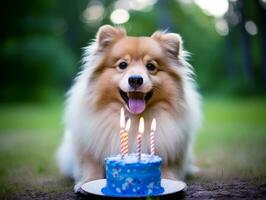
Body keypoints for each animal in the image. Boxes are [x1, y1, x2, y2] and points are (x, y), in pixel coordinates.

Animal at [55, 25, 202, 192]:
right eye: (122, 65)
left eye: (151, 66)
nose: (136, 79)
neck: (133, 118)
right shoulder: (89, 148)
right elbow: (91, 166)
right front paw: (86, 183)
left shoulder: (171, 150)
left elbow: (168, 168)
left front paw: (173, 181)